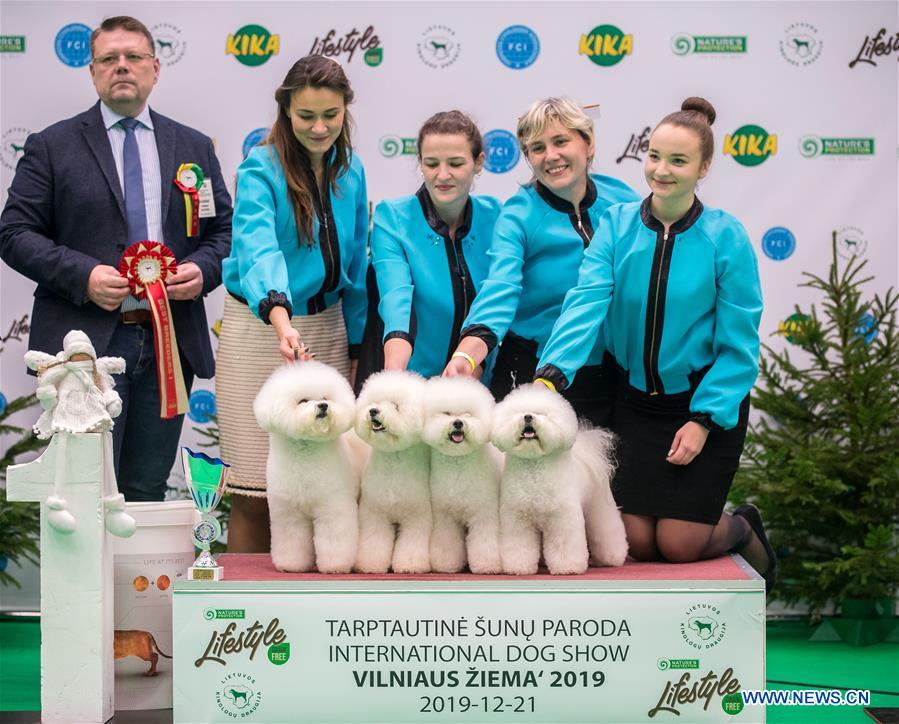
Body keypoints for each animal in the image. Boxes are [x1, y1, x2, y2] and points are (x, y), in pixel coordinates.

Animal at [253, 364, 362, 576]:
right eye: (303, 401)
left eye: (325, 397)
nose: (323, 406)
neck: (306, 453)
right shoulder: (289, 514)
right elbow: (292, 540)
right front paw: (290, 565)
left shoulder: (332, 508)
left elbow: (334, 539)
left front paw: (335, 566)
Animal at [356, 370, 432, 576]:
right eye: (375, 402)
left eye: (396, 406)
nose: (373, 411)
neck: (394, 459)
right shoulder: (375, 513)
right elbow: (374, 540)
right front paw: (371, 565)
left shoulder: (417, 515)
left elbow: (412, 543)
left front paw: (410, 565)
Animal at [424, 376, 502, 576]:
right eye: (447, 413)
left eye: (468, 414)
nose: (458, 423)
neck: (458, 465)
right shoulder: (445, 516)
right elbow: (446, 541)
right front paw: (446, 564)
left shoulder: (484, 513)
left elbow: (485, 541)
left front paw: (487, 566)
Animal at [492, 384, 624, 576]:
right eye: (519, 412)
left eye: (541, 414)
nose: (528, 416)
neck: (534, 468)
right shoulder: (518, 520)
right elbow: (520, 546)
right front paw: (519, 567)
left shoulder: (562, 519)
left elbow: (564, 544)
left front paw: (567, 568)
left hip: (599, 506)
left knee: (608, 531)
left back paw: (613, 558)